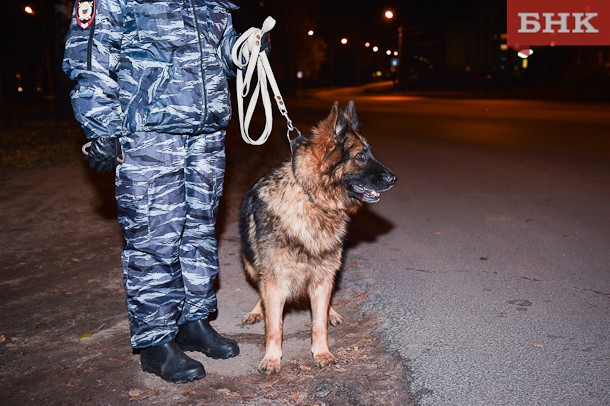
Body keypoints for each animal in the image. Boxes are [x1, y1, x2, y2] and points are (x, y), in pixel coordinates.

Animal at [238, 100, 394, 374]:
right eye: (360, 156)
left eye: (370, 154)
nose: (394, 178)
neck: (314, 201)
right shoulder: (274, 280)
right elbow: (274, 326)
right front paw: (272, 357)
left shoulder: (323, 277)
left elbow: (318, 324)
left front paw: (322, 352)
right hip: (251, 265)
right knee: (261, 291)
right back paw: (258, 310)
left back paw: (331, 312)